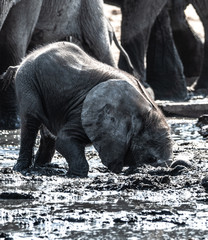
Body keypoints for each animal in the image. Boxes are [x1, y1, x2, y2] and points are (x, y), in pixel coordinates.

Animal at [13, 41, 172, 177]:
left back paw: (42, 167)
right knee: (30, 122)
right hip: (27, 82)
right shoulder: (82, 112)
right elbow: (64, 140)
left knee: (47, 134)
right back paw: (21, 169)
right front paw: (75, 175)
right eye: (150, 159)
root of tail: (29, 56)